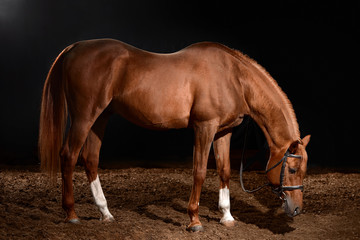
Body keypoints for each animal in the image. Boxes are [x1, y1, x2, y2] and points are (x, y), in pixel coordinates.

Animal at [38, 39, 310, 231]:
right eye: (292, 168)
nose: (297, 209)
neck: (233, 77)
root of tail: (75, 48)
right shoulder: (204, 128)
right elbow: (199, 172)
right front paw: (194, 221)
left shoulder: (224, 132)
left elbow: (224, 171)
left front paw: (227, 216)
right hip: (84, 118)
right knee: (69, 156)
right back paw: (71, 214)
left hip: (101, 118)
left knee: (90, 159)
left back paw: (105, 213)